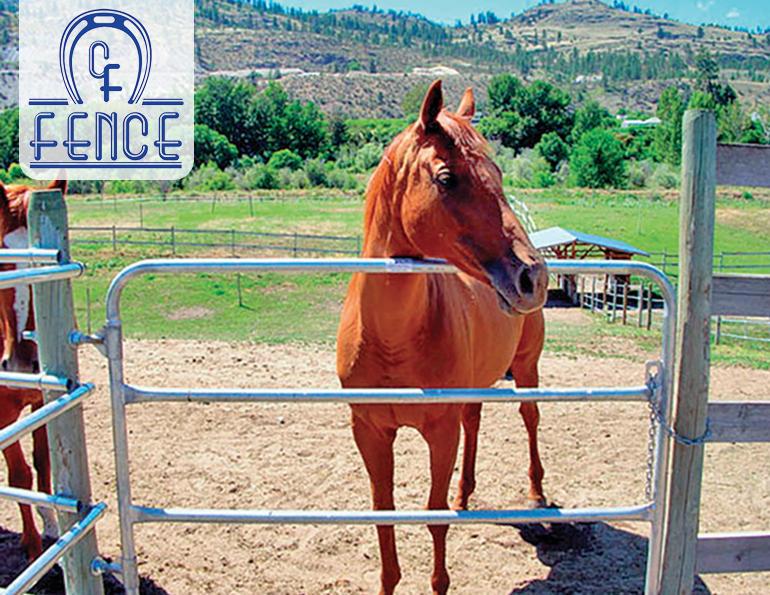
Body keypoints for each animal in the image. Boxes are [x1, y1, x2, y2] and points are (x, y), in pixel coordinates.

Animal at [336, 80, 549, 594]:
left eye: (498, 173)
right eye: (448, 178)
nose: (533, 276)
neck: (393, 340)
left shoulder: (439, 430)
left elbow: (433, 518)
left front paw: (438, 583)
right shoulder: (369, 430)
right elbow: (384, 513)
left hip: (527, 367)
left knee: (530, 418)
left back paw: (537, 494)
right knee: (475, 419)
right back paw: (465, 493)